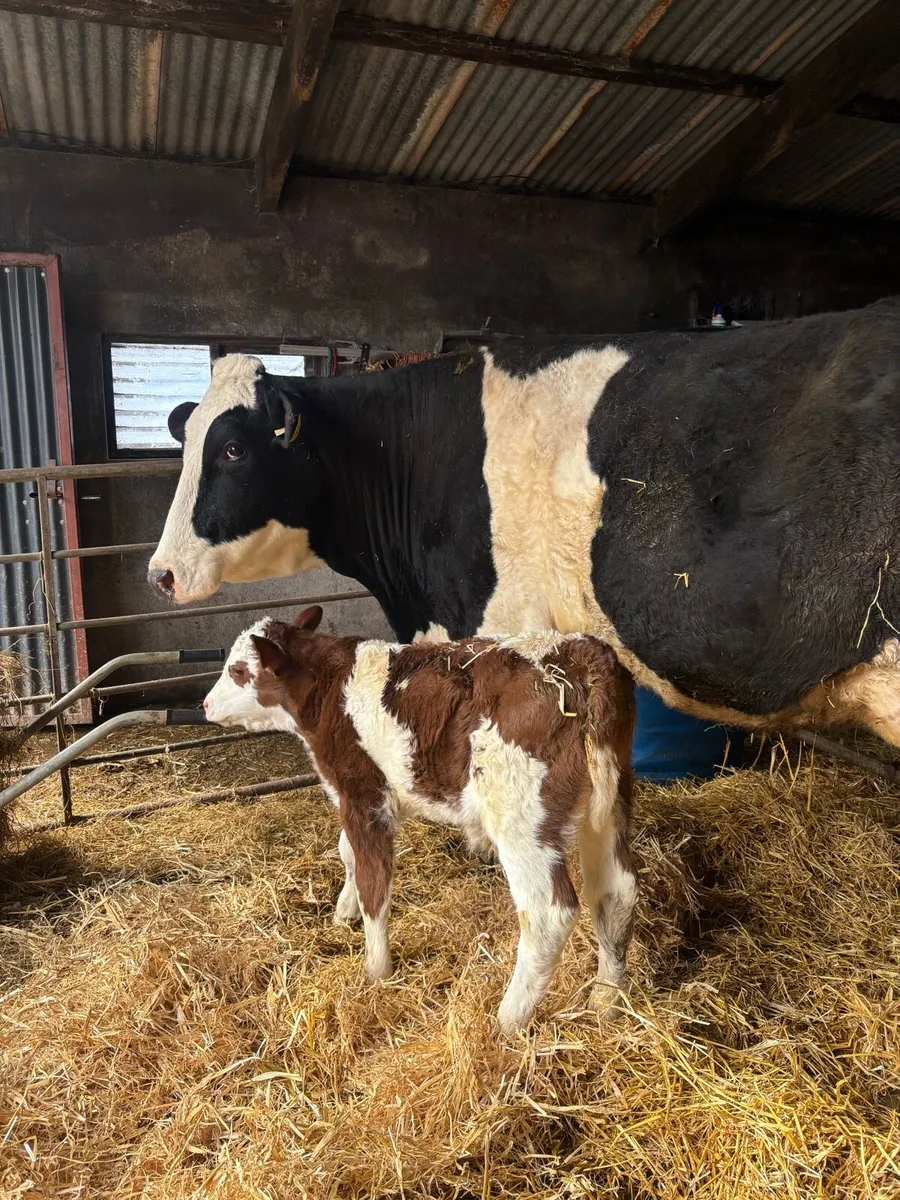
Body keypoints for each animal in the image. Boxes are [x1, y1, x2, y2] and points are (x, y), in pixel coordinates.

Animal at [203, 605, 637, 1032]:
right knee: (617, 892)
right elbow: (348, 853)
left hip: (521, 818)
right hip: (609, 805)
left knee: (548, 913)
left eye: (237, 670)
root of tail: (580, 654)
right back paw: (606, 1001)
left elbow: (374, 882)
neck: (329, 688)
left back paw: (507, 1019)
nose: (205, 704)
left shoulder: (363, 793)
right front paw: (344, 911)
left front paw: (376, 969)